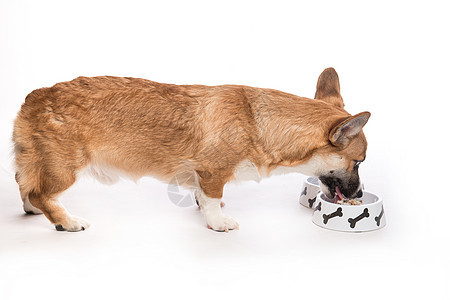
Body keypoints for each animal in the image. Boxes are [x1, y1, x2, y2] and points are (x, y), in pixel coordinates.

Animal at [13, 67, 370, 232]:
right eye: (358, 162)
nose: (360, 195)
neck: (260, 122)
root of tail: (36, 96)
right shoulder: (213, 172)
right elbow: (211, 199)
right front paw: (219, 222)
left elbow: (202, 195)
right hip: (65, 170)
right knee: (41, 194)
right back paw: (68, 222)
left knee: (25, 185)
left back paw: (33, 210)